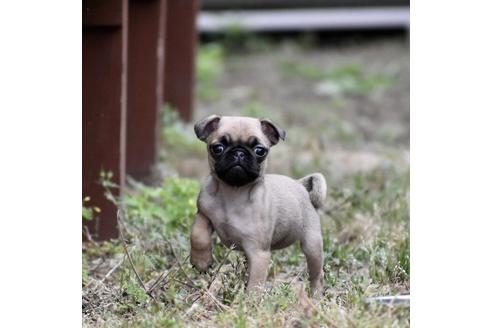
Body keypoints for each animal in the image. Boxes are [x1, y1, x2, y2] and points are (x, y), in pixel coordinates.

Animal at [190, 116, 324, 298]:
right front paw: (201, 261)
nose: (239, 153)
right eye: (217, 148)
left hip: (312, 245)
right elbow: (197, 235)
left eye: (260, 150)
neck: (233, 191)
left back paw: (316, 295)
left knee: (316, 274)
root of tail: (300, 185)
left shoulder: (258, 253)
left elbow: (255, 285)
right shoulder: (204, 214)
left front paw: (248, 303)